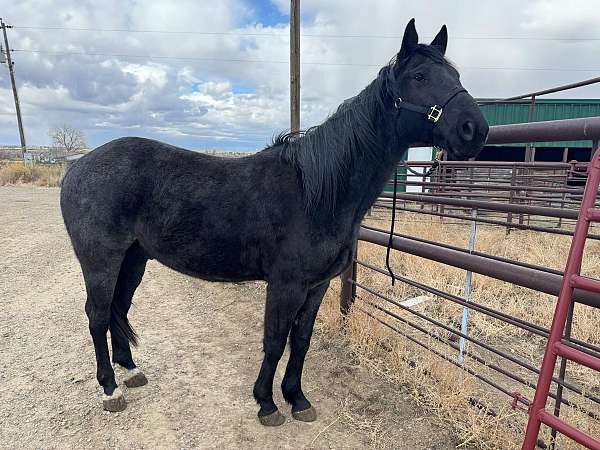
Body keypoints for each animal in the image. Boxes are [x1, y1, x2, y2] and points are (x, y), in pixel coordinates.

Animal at [61, 18, 490, 426]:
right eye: (419, 76)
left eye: (455, 76)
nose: (475, 129)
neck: (316, 191)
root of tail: (77, 165)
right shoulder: (286, 284)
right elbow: (274, 340)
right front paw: (267, 404)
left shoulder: (316, 286)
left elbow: (300, 341)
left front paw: (297, 399)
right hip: (101, 261)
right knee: (97, 314)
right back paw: (111, 389)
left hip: (133, 259)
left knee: (118, 307)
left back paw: (131, 371)